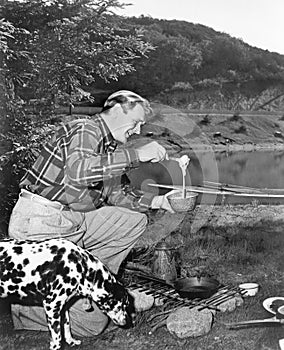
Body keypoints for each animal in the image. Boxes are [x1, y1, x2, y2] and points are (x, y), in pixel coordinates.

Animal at [0, 238, 134, 350]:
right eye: (122, 305)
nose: (127, 322)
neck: (80, 267)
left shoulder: (63, 306)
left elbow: (66, 326)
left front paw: (71, 341)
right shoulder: (51, 306)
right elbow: (57, 339)